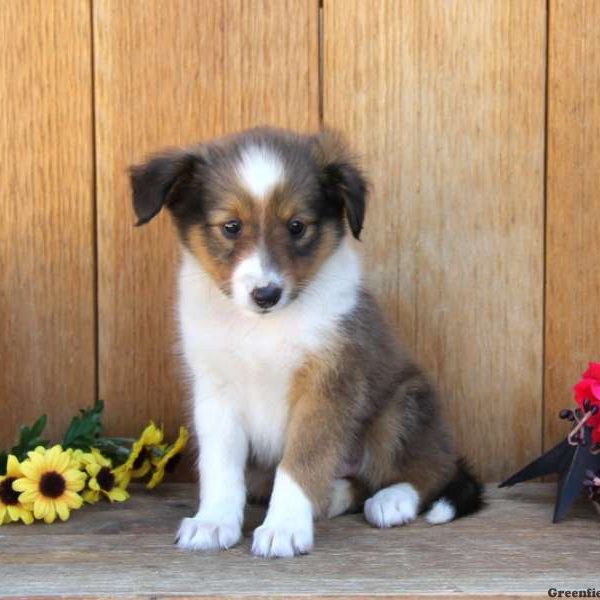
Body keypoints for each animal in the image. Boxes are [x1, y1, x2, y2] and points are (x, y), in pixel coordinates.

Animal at [130, 125, 482, 556]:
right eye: (231, 226)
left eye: (297, 226)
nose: (266, 294)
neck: (264, 327)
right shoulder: (216, 388)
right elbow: (220, 466)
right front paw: (213, 522)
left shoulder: (328, 383)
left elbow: (302, 462)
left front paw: (283, 528)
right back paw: (334, 497)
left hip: (403, 404)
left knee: (430, 469)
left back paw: (392, 500)